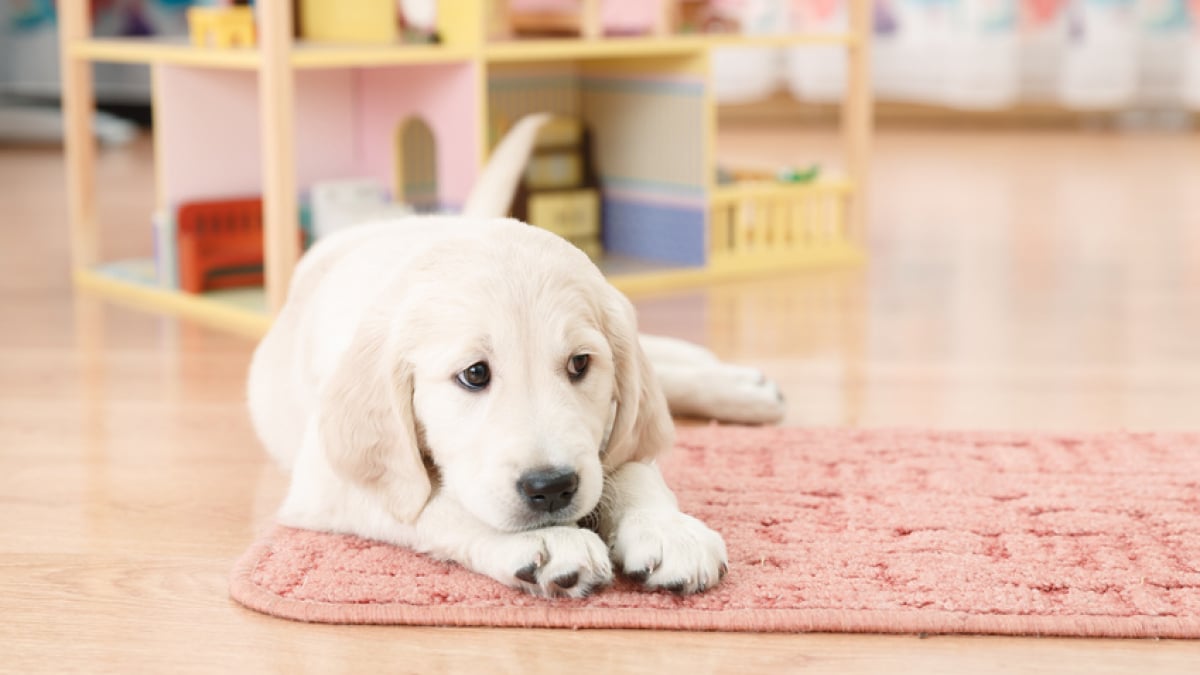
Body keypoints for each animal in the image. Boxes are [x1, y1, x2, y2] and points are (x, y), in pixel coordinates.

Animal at [246, 114, 787, 593]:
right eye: (474, 374)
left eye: (580, 364)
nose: (551, 487)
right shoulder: (330, 483)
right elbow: (440, 504)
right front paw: (548, 541)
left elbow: (632, 464)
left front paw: (667, 529)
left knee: (655, 373)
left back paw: (739, 385)